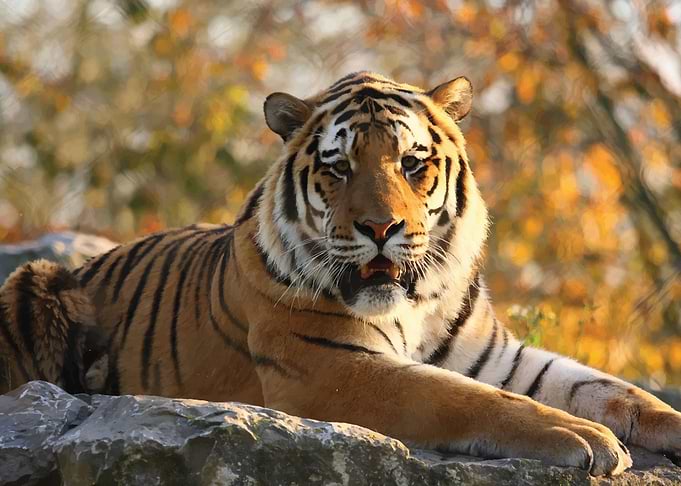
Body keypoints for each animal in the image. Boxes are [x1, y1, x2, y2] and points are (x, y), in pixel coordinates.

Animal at [1, 71, 680, 476]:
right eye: (338, 167)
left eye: (412, 164)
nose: (381, 228)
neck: (417, 301)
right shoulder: (332, 368)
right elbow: (469, 398)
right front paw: (585, 438)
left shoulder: (501, 356)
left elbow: (610, 388)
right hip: (32, 281)